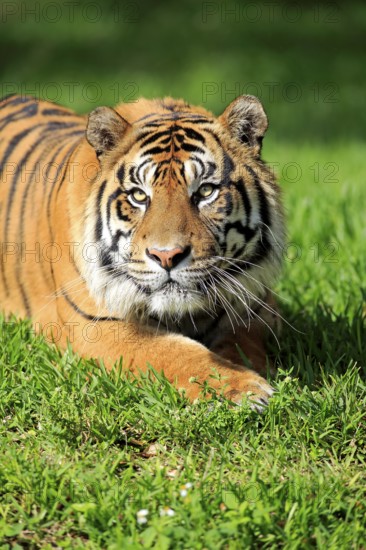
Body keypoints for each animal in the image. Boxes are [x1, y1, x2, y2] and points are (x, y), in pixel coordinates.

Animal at [0, 91, 284, 410]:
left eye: (206, 191)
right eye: (138, 195)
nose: (167, 256)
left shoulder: (255, 307)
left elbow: (244, 342)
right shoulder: (96, 325)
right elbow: (174, 352)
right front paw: (245, 388)